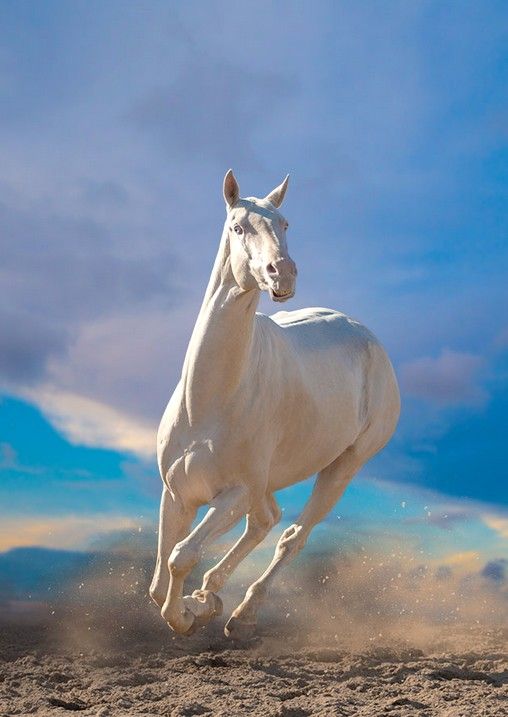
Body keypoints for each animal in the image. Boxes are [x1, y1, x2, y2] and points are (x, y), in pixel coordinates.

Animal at [149, 170, 400, 638]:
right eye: (237, 226)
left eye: (285, 224)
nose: (282, 273)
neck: (209, 399)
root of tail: (368, 337)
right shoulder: (177, 494)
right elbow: (159, 582)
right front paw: (197, 605)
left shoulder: (235, 493)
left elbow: (181, 556)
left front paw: (189, 614)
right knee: (266, 520)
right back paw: (213, 595)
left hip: (344, 466)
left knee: (292, 536)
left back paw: (243, 613)